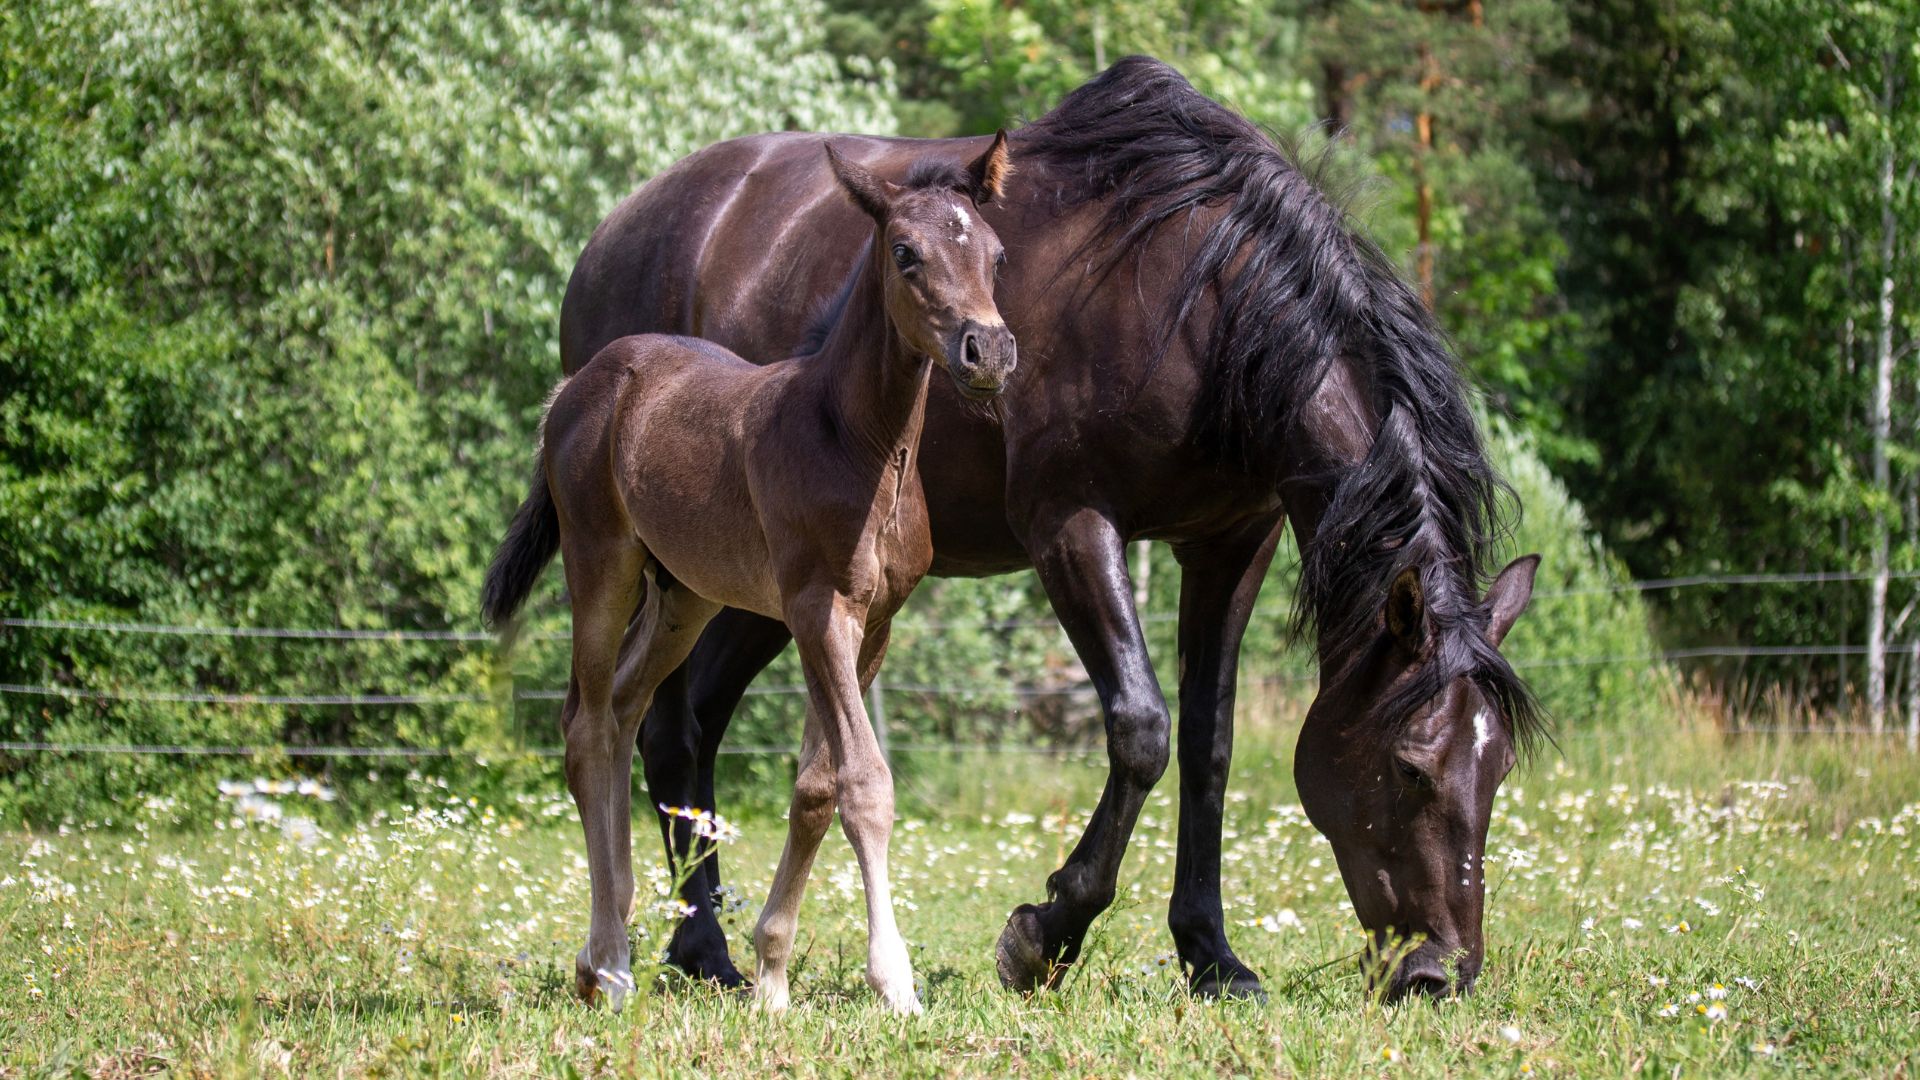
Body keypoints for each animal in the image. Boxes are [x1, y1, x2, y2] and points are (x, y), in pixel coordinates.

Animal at [481, 136, 1018, 1013]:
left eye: (997, 254)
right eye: (906, 253)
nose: (989, 353)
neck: (857, 440)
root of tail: (576, 386)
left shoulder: (875, 622)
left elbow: (816, 788)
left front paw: (771, 975)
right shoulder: (814, 610)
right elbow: (865, 783)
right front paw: (894, 982)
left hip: (683, 596)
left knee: (624, 711)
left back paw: (611, 941)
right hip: (601, 564)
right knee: (587, 727)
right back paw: (610, 963)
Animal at [552, 56, 1544, 1003]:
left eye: (1497, 771)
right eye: (1411, 768)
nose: (1440, 974)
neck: (1198, 299)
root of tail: (615, 234)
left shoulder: (1231, 542)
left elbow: (1209, 745)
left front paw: (1211, 956)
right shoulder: (1071, 526)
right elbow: (1141, 727)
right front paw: (1047, 931)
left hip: (748, 586)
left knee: (687, 722)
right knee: (658, 729)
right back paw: (698, 951)